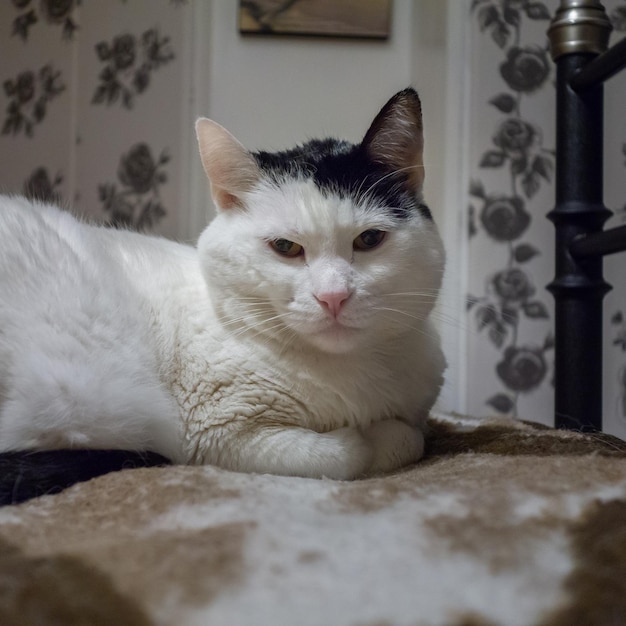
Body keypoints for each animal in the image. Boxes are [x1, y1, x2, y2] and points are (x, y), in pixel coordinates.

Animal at [0, 86, 444, 502]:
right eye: (285, 247)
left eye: (369, 239)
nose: (333, 296)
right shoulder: (218, 436)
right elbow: (354, 452)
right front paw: (372, 437)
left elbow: (415, 434)